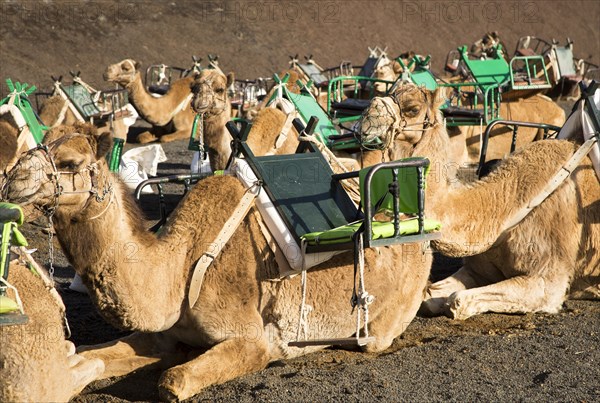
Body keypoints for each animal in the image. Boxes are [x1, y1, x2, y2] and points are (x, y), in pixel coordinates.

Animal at [103, 58, 232, 144]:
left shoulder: (187, 129)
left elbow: (164, 138)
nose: (106, 72)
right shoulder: (158, 128)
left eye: (126, 68)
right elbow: (141, 138)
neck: (171, 107)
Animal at [358, 83, 596, 322]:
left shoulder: (548, 280)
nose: (366, 120)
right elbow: (430, 298)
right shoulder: (477, 269)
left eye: (412, 109)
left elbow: (457, 301)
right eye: (388, 93)